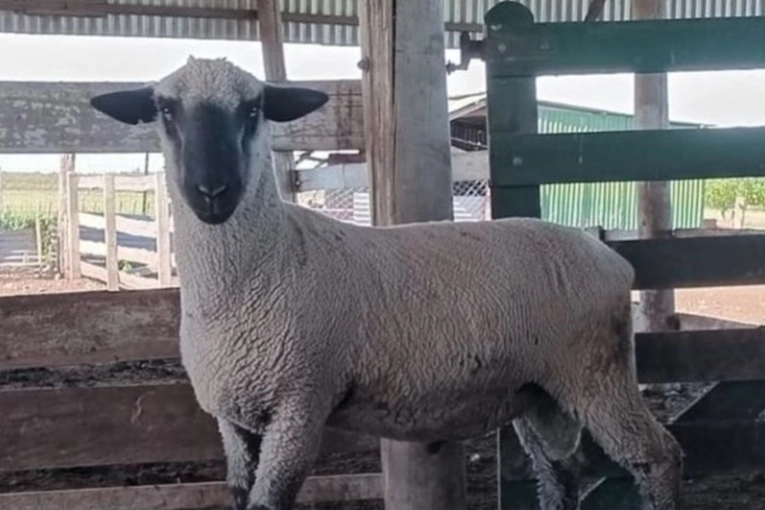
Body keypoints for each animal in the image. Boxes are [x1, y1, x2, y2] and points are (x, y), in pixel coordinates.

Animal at [89, 56, 683, 510]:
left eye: (253, 109)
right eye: (166, 110)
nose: (213, 190)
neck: (263, 267)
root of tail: (607, 254)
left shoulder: (299, 402)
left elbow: (271, 501)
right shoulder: (233, 418)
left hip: (596, 371)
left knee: (656, 457)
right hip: (540, 389)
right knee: (563, 468)